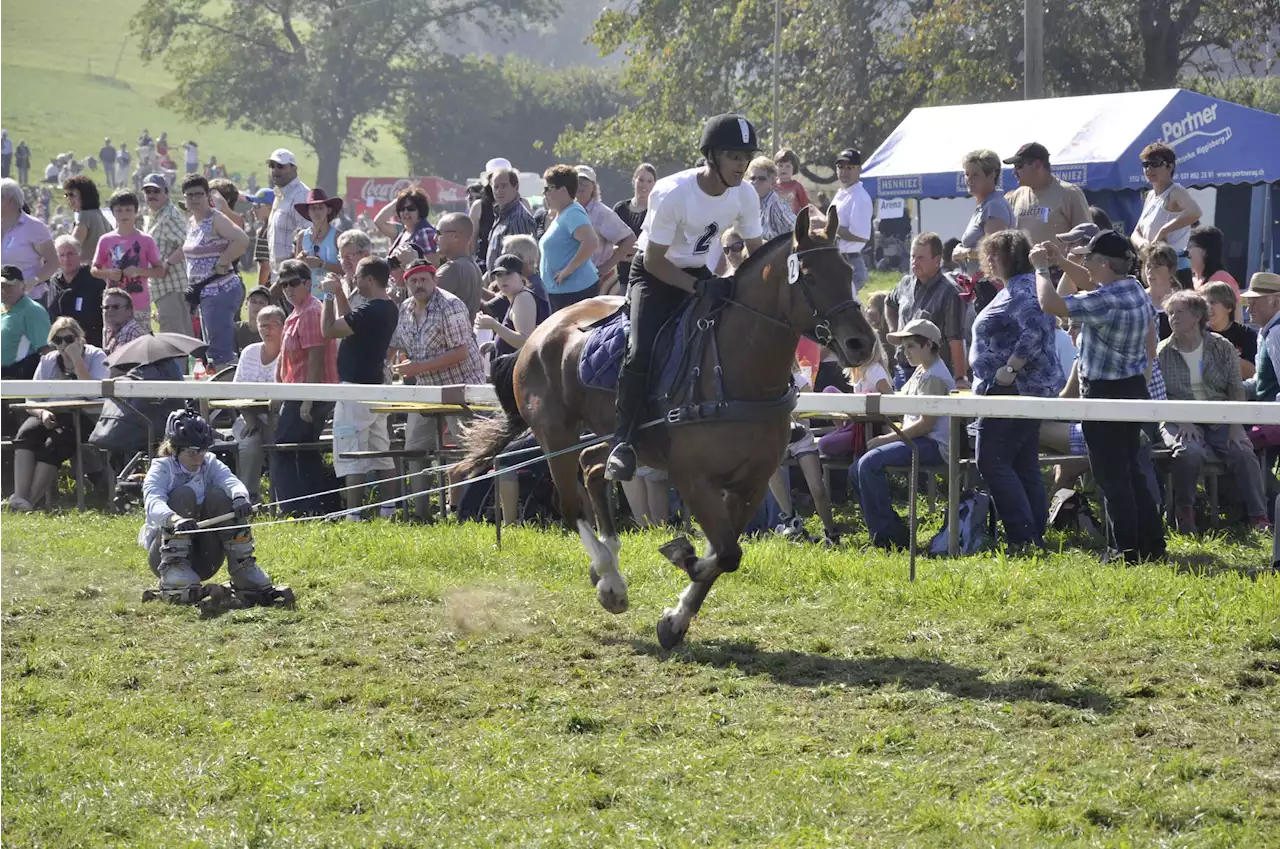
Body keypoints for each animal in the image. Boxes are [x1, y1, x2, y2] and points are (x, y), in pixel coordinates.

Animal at [460, 208, 880, 647]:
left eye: (847, 270)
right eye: (810, 276)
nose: (861, 343)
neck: (736, 372)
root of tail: (538, 333)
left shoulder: (751, 485)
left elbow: (724, 555)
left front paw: (675, 619)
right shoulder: (694, 479)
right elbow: (723, 554)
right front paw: (682, 558)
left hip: (617, 437)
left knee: (593, 468)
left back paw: (608, 564)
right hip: (556, 434)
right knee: (570, 503)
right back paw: (610, 580)